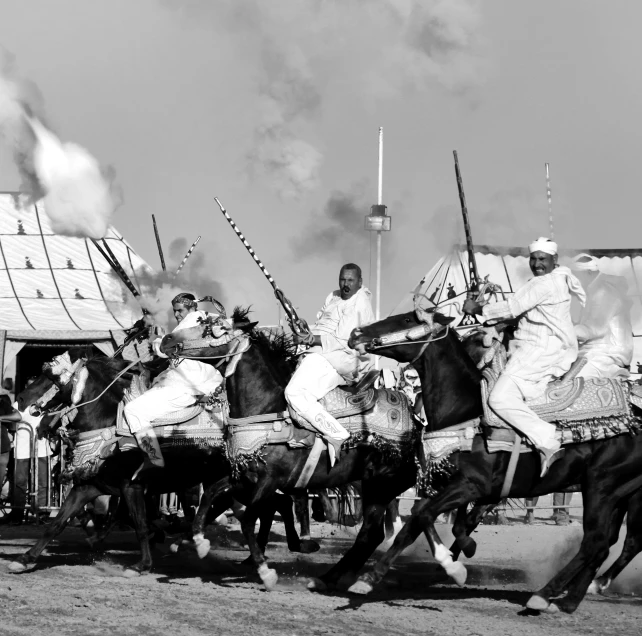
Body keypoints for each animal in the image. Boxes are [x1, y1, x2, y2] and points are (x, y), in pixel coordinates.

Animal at [11, 348, 316, 576]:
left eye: (50, 375)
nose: (22, 398)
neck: (112, 427)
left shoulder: (131, 487)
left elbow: (138, 524)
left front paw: (143, 562)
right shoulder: (91, 485)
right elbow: (58, 523)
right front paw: (26, 558)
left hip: (244, 482)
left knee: (272, 505)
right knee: (271, 505)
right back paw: (255, 553)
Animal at [160, 310, 464, 592]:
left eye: (212, 327)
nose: (166, 340)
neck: (267, 409)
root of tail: (417, 427)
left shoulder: (270, 480)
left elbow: (248, 520)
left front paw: (266, 572)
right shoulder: (244, 475)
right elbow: (210, 495)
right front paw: (198, 542)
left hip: (381, 484)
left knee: (381, 529)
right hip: (373, 486)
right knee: (382, 530)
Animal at [348, 310, 642, 612]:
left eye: (408, 319)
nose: (356, 334)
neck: (467, 411)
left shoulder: (472, 486)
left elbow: (421, 518)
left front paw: (369, 579)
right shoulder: (449, 485)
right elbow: (427, 521)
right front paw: (455, 563)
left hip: (602, 488)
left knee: (598, 542)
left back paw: (546, 595)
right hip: (619, 493)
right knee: (607, 544)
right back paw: (571, 599)